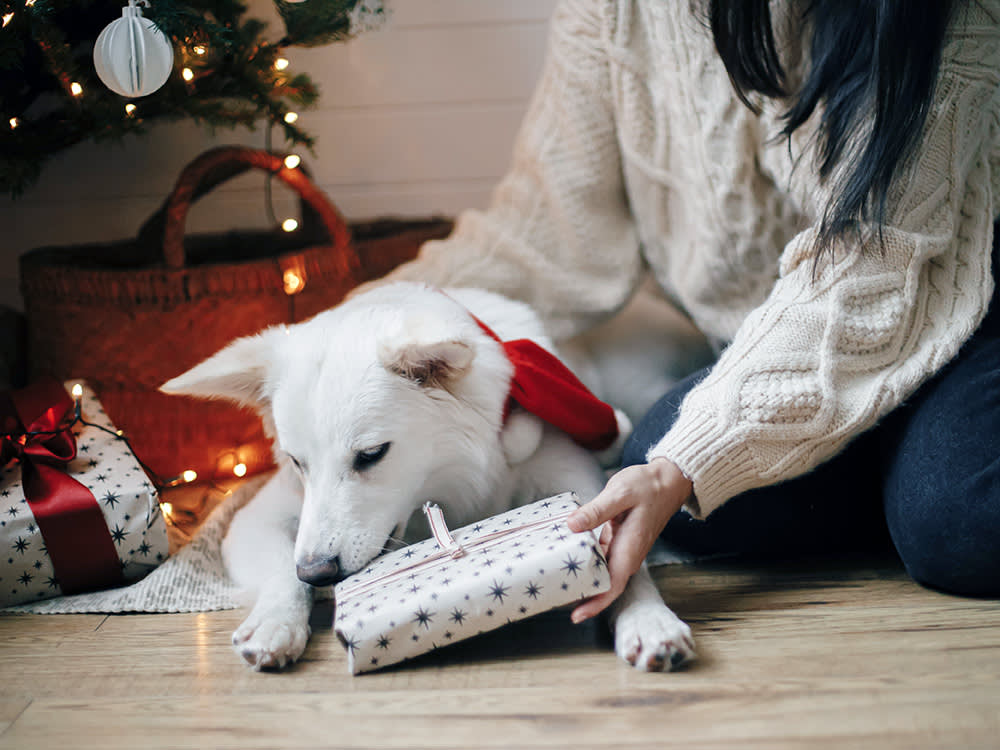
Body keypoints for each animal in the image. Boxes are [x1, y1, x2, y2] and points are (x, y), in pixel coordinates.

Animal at [164, 284, 696, 672]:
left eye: (371, 455)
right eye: (297, 462)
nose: (318, 573)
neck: (449, 481)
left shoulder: (576, 478)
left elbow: (625, 553)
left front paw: (647, 617)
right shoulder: (258, 518)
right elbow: (282, 570)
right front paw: (276, 621)